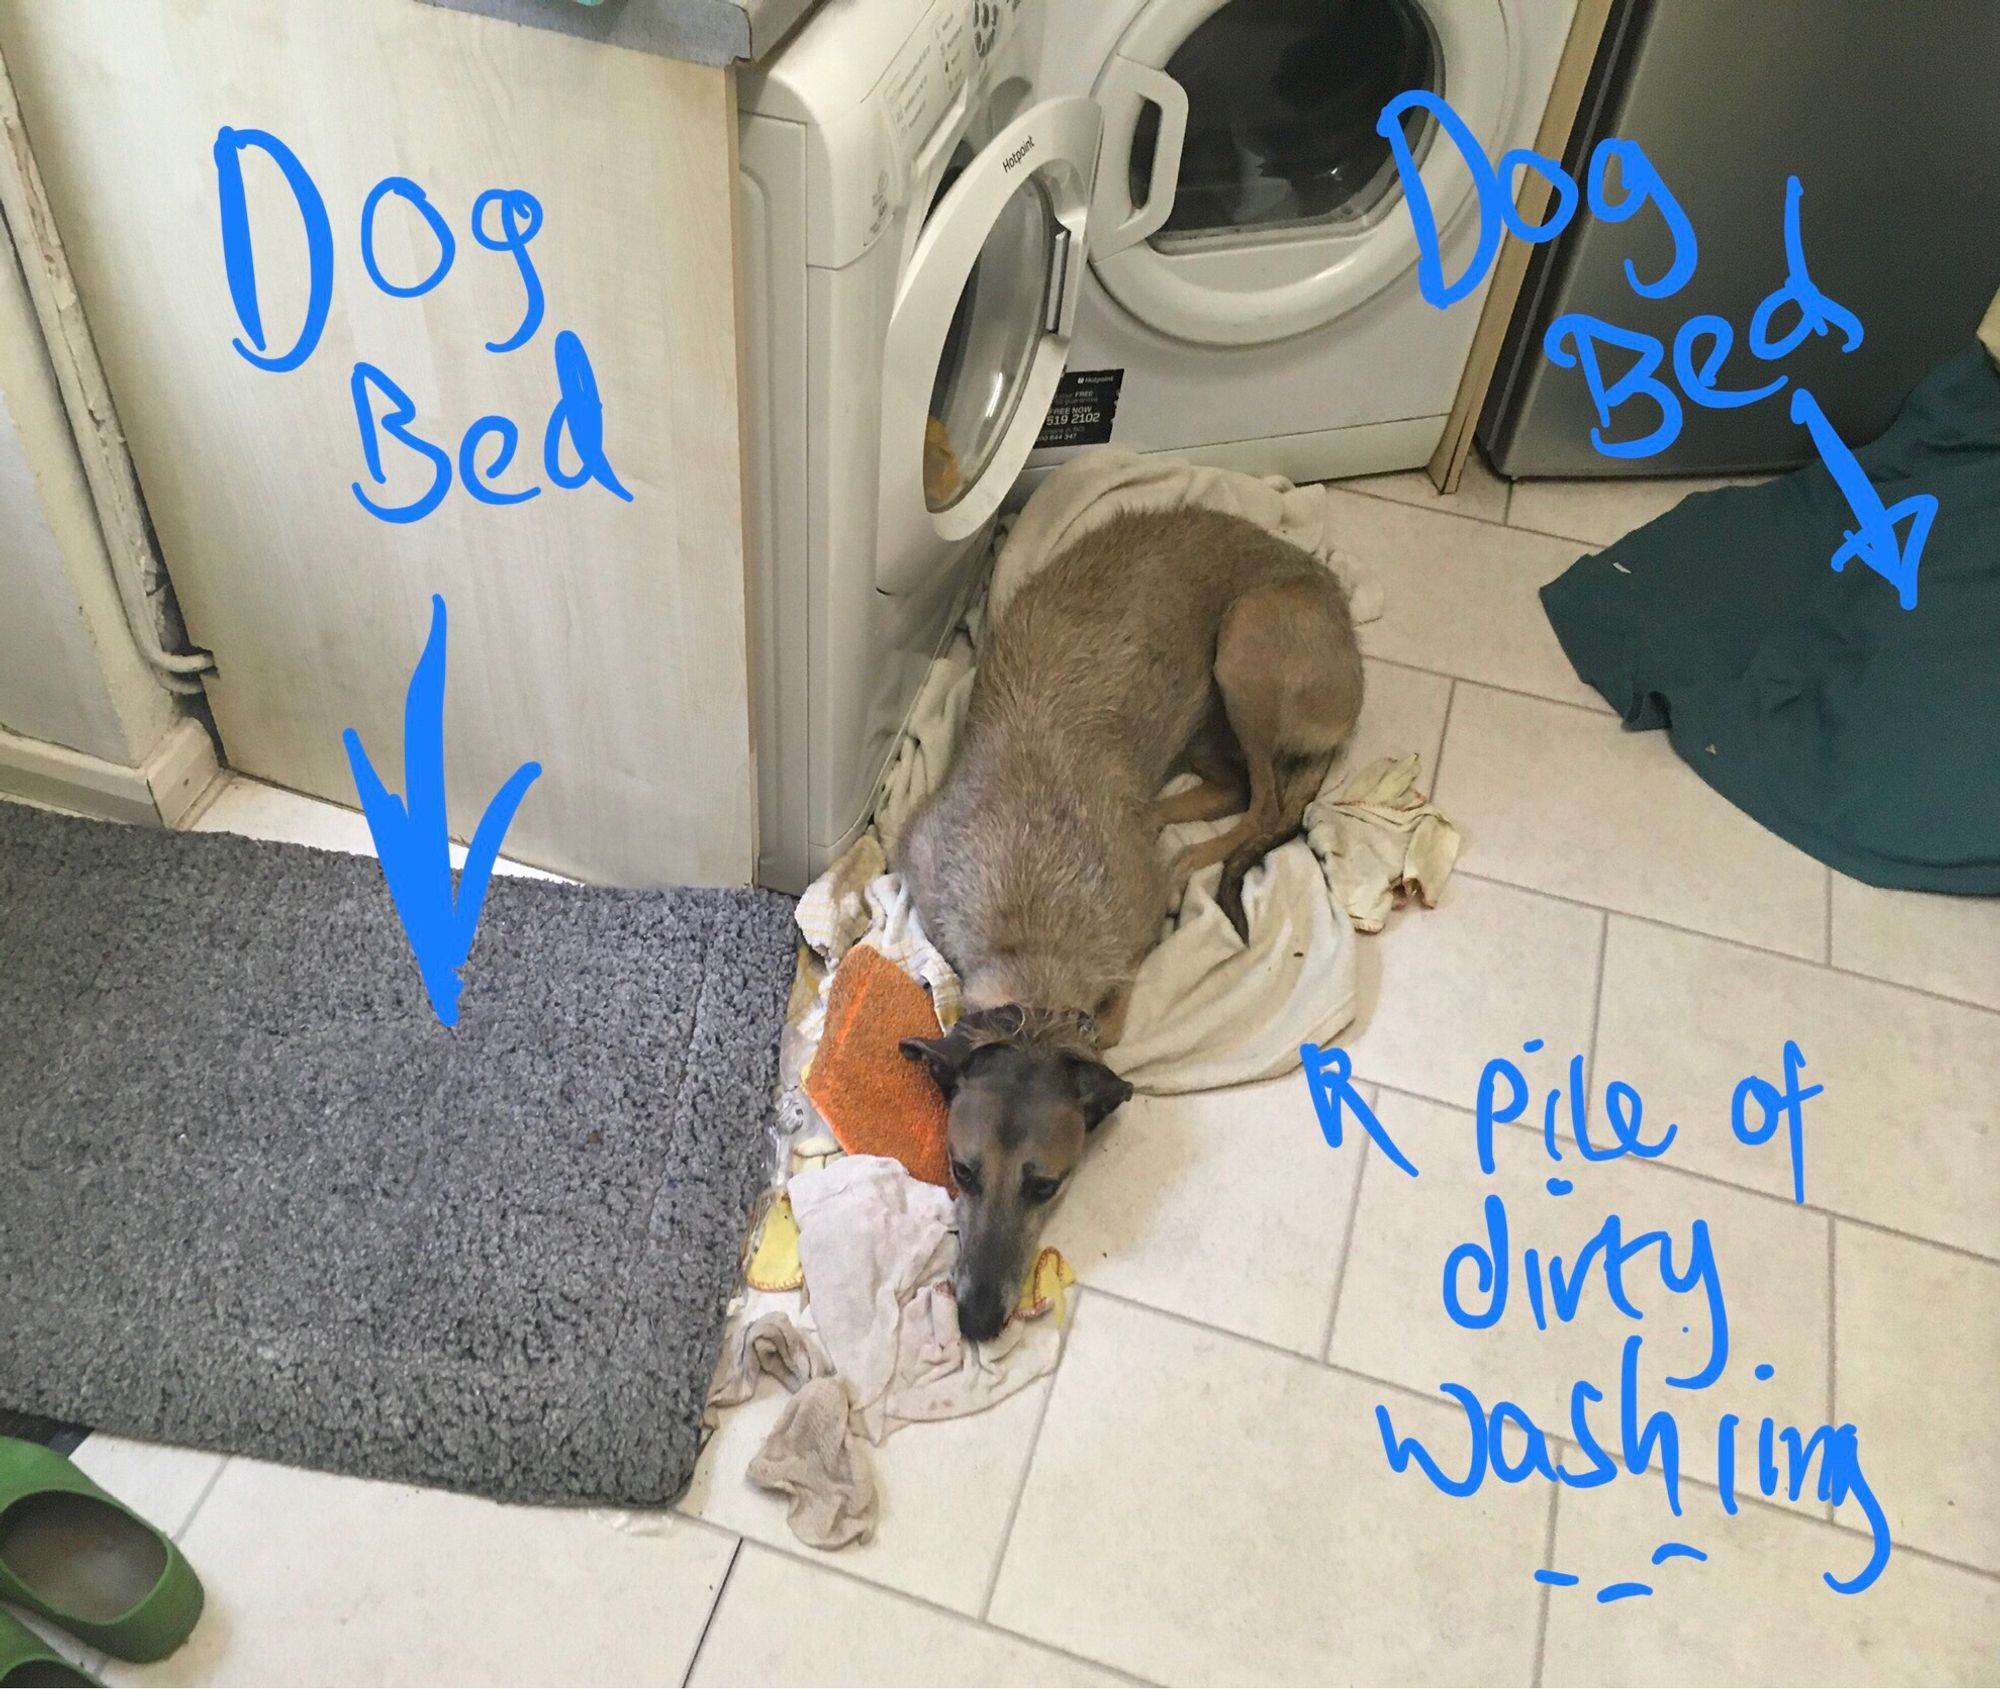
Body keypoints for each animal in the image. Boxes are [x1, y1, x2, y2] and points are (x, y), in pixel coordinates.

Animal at [900, 502, 1368, 1328]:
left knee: (1266, 802)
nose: (978, 1320)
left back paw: (1183, 863)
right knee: (1238, 792)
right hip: (1215, 719)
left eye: (1045, 1184)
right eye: (960, 1168)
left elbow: (1111, 1020)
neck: (1034, 945)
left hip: (1246, 641)